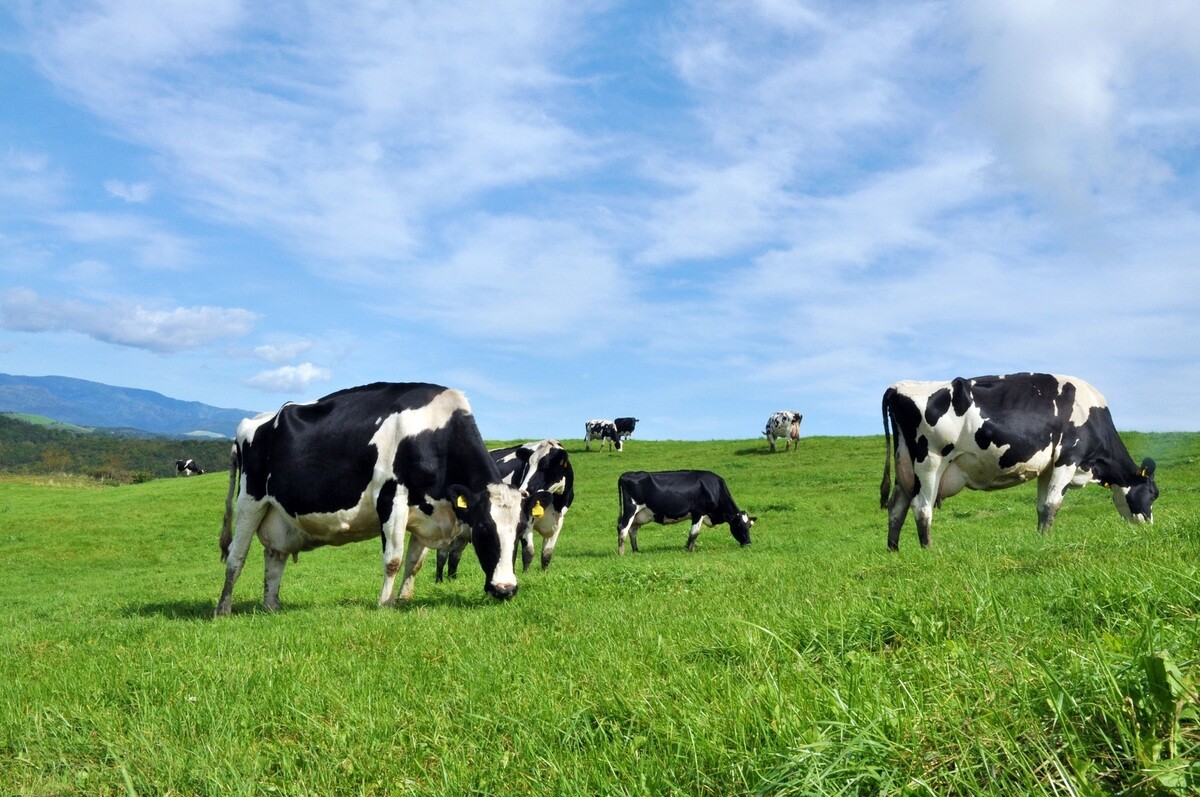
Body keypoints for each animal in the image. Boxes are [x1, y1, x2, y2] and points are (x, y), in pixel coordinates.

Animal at [216, 381, 525, 614]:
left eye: (521, 530)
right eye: (483, 529)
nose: (505, 589)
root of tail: (256, 420)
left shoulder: (427, 513)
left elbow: (415, 563)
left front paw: (404, 599)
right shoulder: (391, 496)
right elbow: (394, 560)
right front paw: (385, 604)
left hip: (278, 516)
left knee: (274, 557)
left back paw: (271, 607)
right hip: (250, 502)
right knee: (236, 556)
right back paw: (223, 609)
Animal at [436, 439, 576, 583]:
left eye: (545, 465)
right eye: (527, 466)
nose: (523, 492)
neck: (555, 503)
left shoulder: (558, 522)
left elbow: (547, 554)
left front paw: (544, 575)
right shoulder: (526, 521)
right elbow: (528, 552)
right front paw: (526, 575)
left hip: (463, 530)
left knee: (454, 554)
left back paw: (452, 579)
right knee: (442, 553)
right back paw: (439, 581)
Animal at [614, 468, 753, 554]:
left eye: (749, 526)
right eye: (739, 525)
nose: (748, 543)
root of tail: (626, 474)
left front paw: (691, 548)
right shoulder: (698, 511)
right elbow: (694, 532)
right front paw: (689, 549)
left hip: (638, 515)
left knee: (632, 530)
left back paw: (636, 551)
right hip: (631, 510)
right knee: (623, 528)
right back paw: (621, 553)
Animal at [888, 372, 1156, 547]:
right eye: (1153, 494)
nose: (1149, 527)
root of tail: (898, 387)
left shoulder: (1048, 467)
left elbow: (1042, 506)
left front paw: (1040, 539)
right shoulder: (1068, 458)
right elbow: (1053, 505)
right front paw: (1047, 540)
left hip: (905, 470)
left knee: (896, 508)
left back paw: (894, 550)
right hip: (929, 463)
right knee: (922, 507)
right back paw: (928, 550)